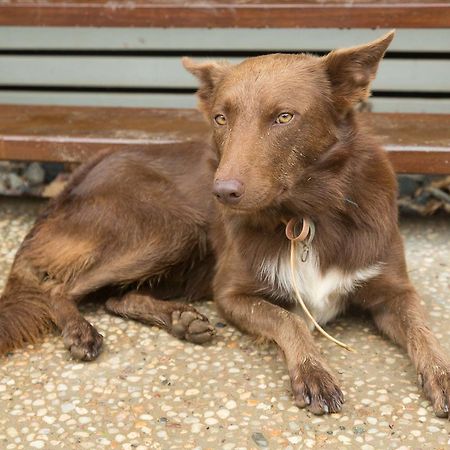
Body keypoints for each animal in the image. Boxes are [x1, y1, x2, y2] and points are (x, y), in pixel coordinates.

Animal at [0, 32, 450, 418]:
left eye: (284, 117)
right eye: (220, 118)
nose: (221, 192)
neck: (307, 215)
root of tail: (75, 178)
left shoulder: (395, 291)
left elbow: (423, 330)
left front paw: (441, 377)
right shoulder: (230, 294)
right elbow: (287, 319)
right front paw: (313, 371)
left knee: (114, 297)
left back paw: (179, 320)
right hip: (172, 227)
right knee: (60, 288)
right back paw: (81, 331)